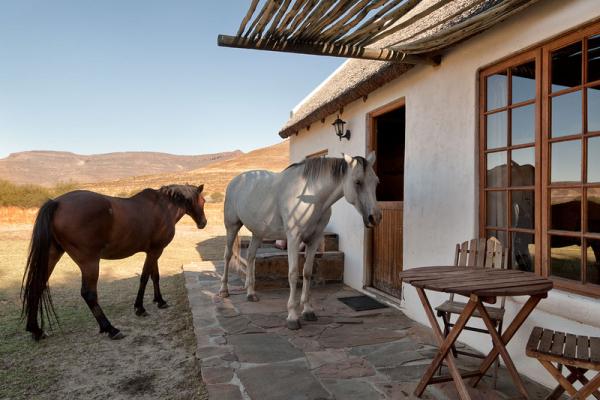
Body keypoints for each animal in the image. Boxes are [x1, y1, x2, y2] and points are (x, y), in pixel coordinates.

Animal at [21, 184, 207, 340]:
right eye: (203, 201)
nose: (203, 223)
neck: (163, 207)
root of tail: (57, 203)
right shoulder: (156, 251)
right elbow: (145, 277)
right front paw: (140, 308)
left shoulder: (153, 251)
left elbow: (154, 276)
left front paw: (159, 301)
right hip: (89, 262)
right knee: (88, 294)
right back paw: (110, 328)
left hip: (52, 256)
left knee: (37, 286)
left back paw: (36, 330)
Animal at [219, 152, 380, 330]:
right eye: (358, 182)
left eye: (376, 182)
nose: (375, 217)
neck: (310, 198)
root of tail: (235, 181)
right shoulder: (294, 239)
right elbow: (293, 274)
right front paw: (292, 316)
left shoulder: (314, 240)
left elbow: (307, 272)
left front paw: (308, 310)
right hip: (232, 227)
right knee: (227, 256)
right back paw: (224, 290)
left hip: (258, 233)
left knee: (250, 257)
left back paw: (251, 293)